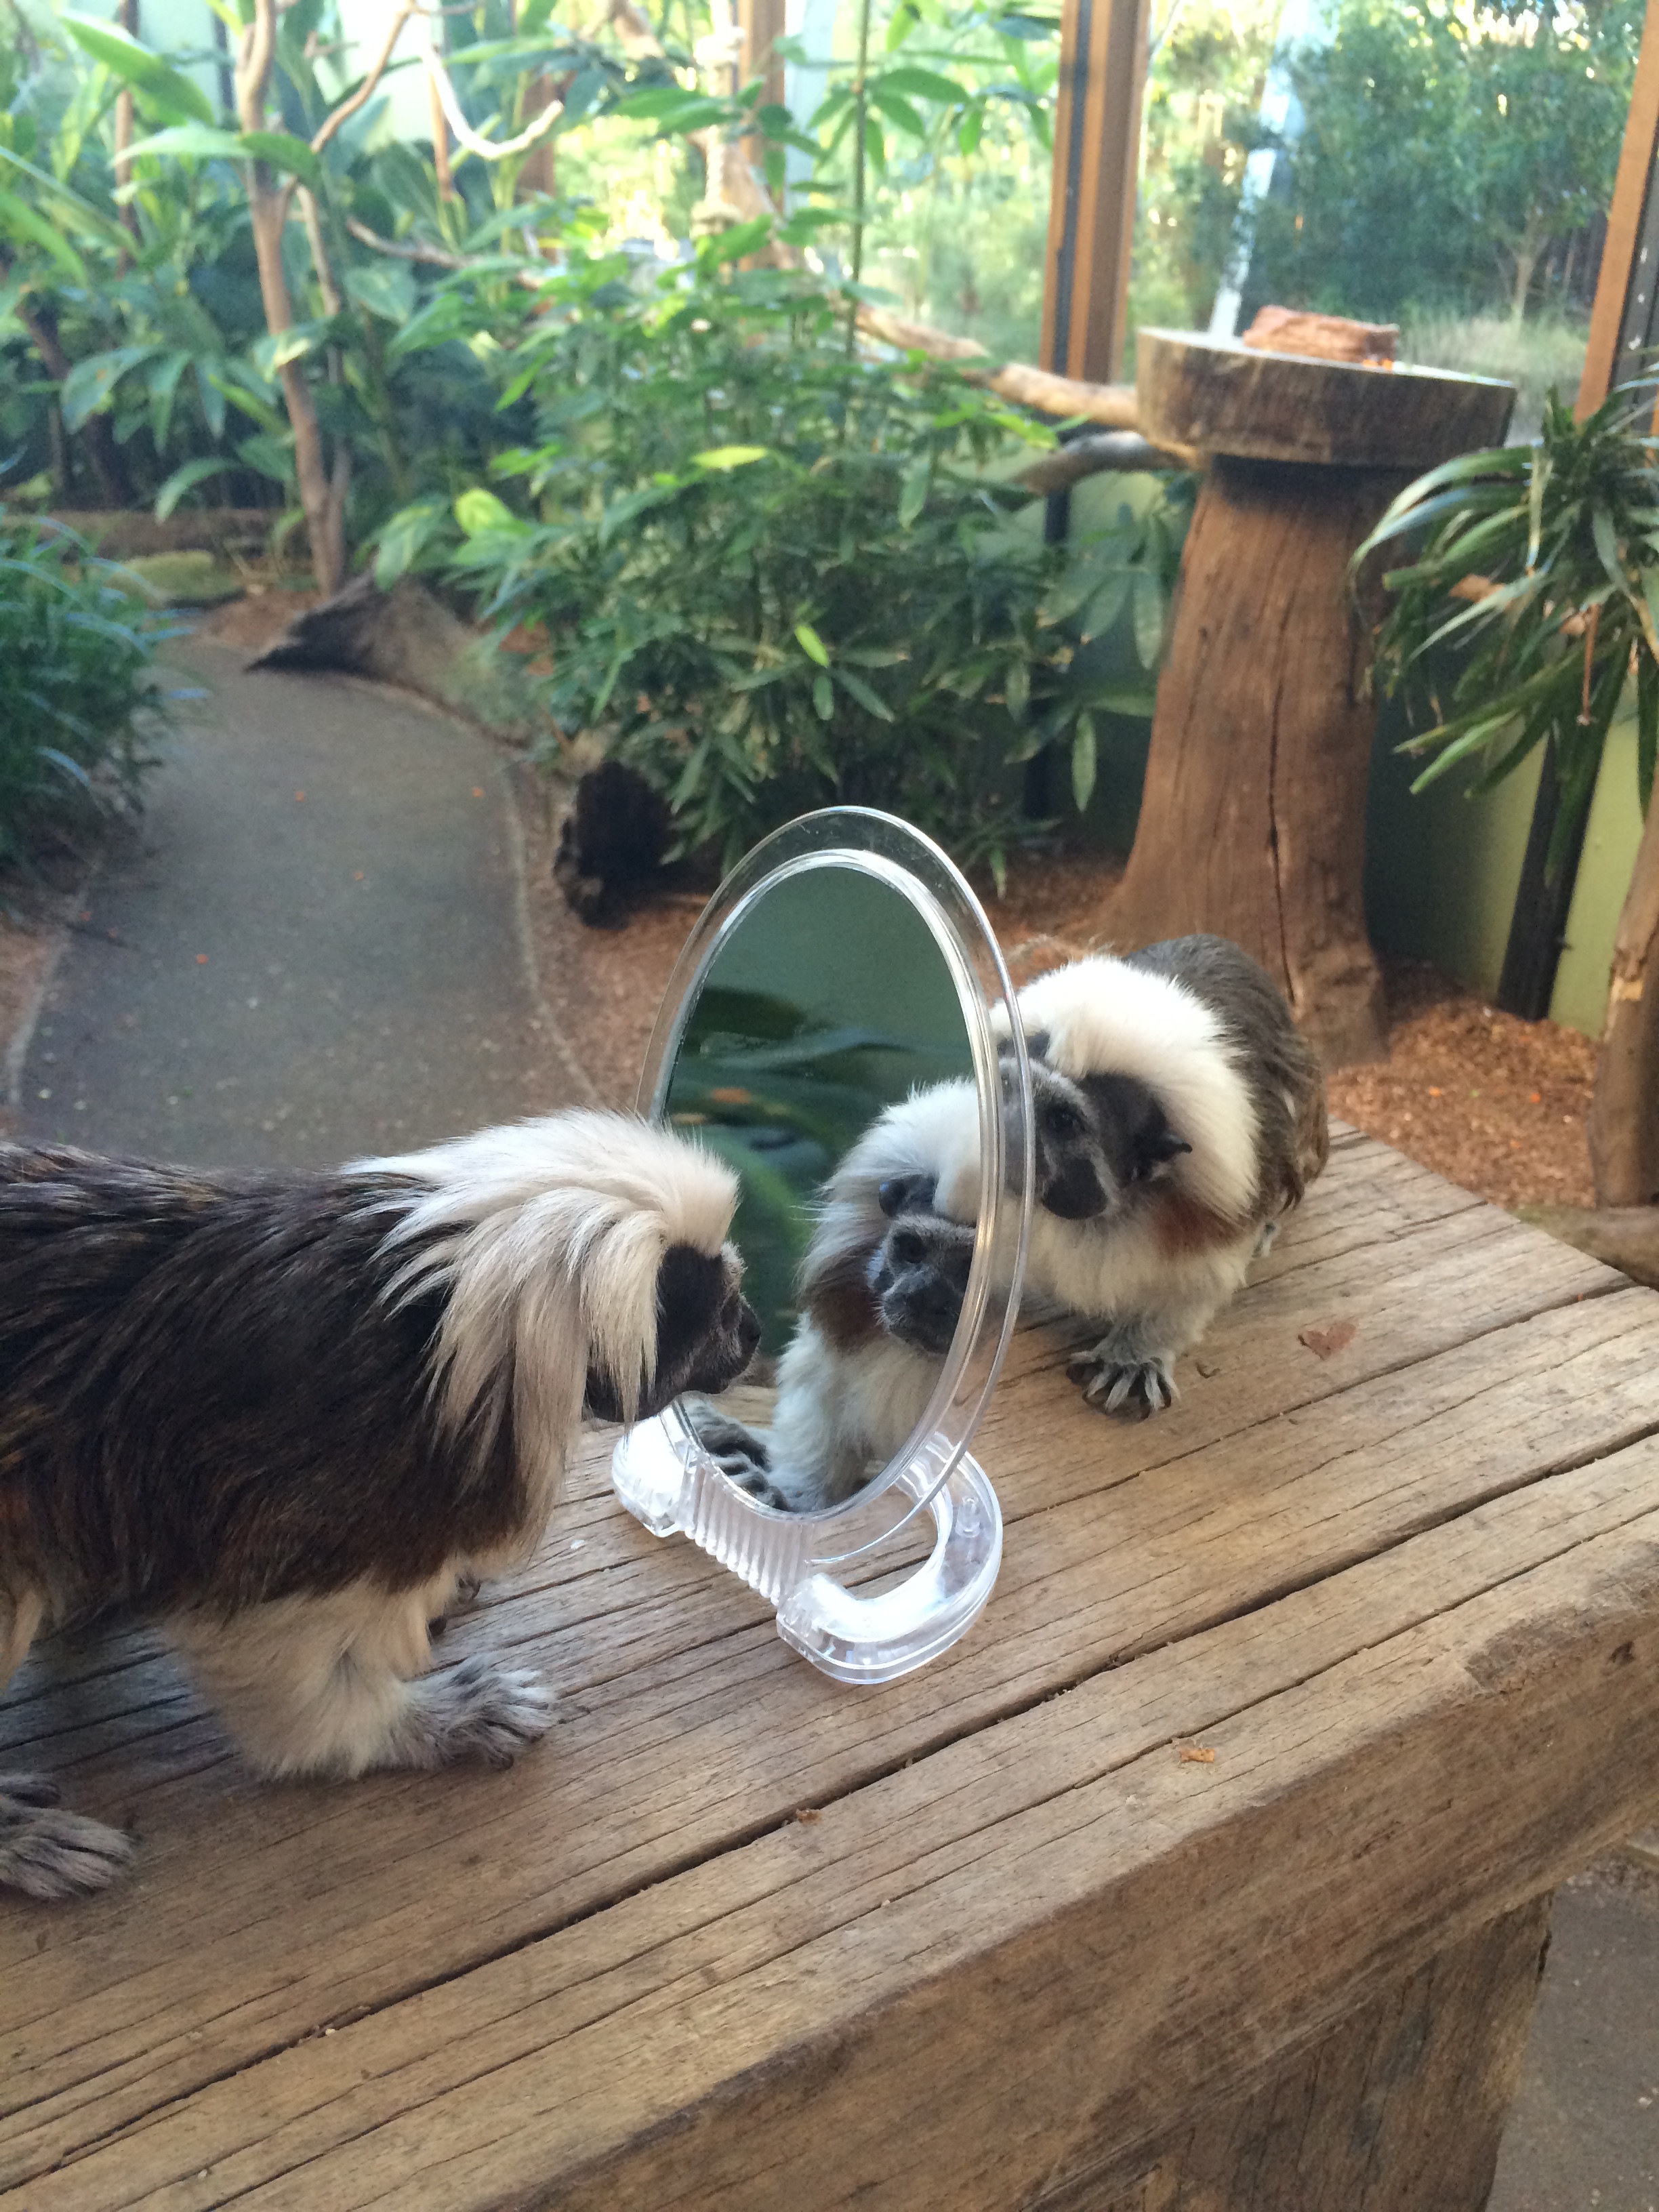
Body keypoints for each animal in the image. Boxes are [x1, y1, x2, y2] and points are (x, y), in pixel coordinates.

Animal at [0, 1110, 758, 1900]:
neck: (438, 1320)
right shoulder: (315, 1482)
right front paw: (427, 1720)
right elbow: (266, 1649)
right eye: (721, 1316)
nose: (755, 1333)